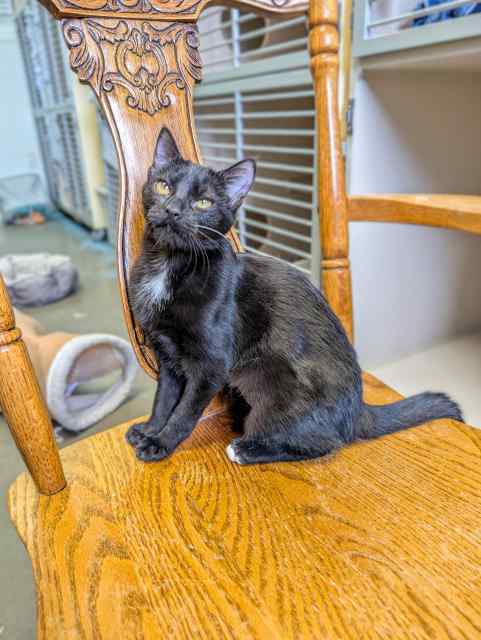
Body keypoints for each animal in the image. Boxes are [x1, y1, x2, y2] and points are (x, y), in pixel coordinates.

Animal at [124, 126, 462, 464]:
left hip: (271, 384)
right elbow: (164, 399)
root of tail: (358, 412)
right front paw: (149, 430)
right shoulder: (166, 355)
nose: (172, 210)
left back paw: (246, 448)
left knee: (322, 442)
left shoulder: (210, 366)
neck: (169, 264)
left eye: (203, 203)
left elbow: (184, 411)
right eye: (163, 186)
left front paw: (161, 443)